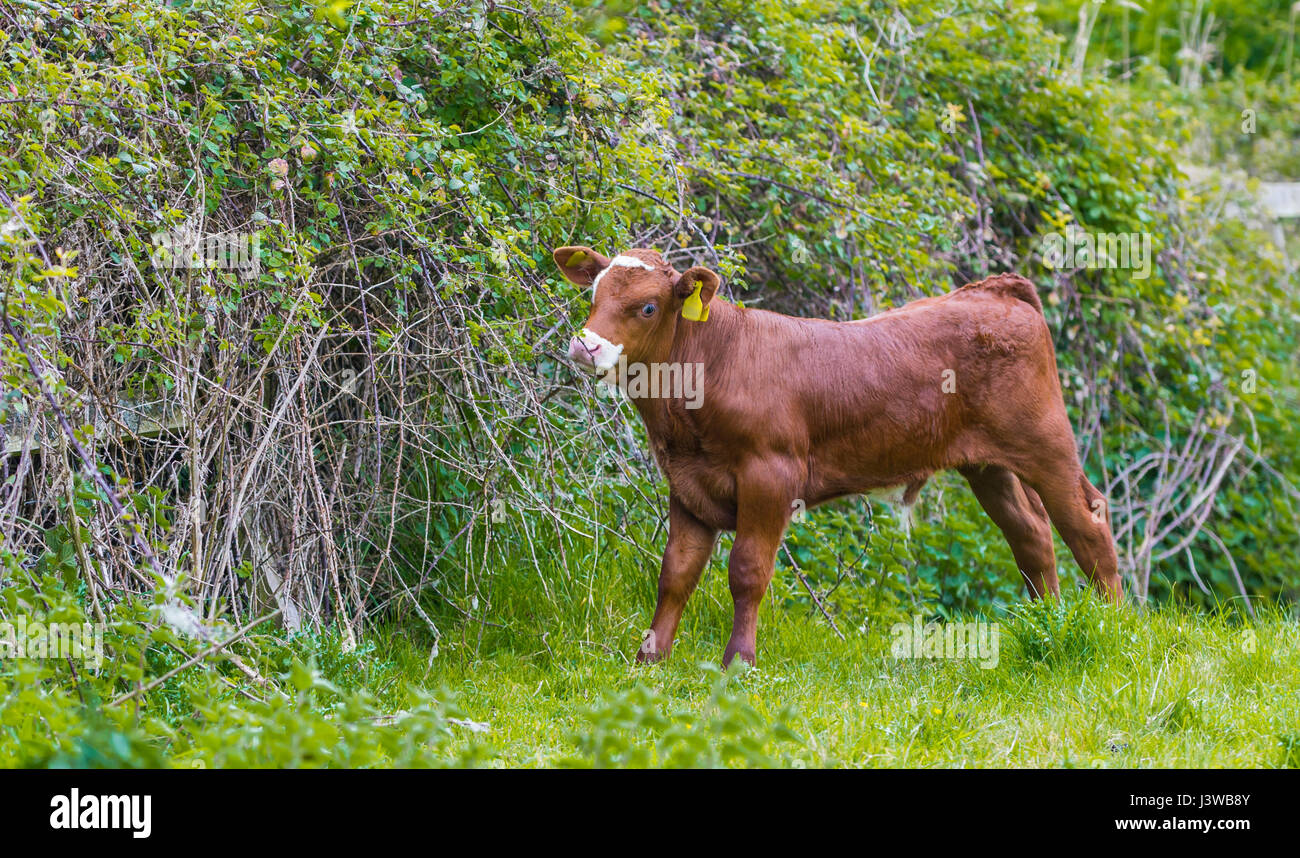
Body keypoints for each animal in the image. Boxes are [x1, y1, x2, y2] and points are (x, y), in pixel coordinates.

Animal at [553, 244, 1123, 665]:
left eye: (648, 307)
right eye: (594, 295)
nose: (585, 346)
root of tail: (994, 289)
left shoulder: (770, 475)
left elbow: (747, 570)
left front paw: (739, 661)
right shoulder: (688, 483)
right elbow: (676, 572)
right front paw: (651, 657)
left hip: (1046, 443)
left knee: (1088, 524)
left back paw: (1115, 628)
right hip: (988, 466)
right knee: (1031, 534)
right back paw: (1047, 622)